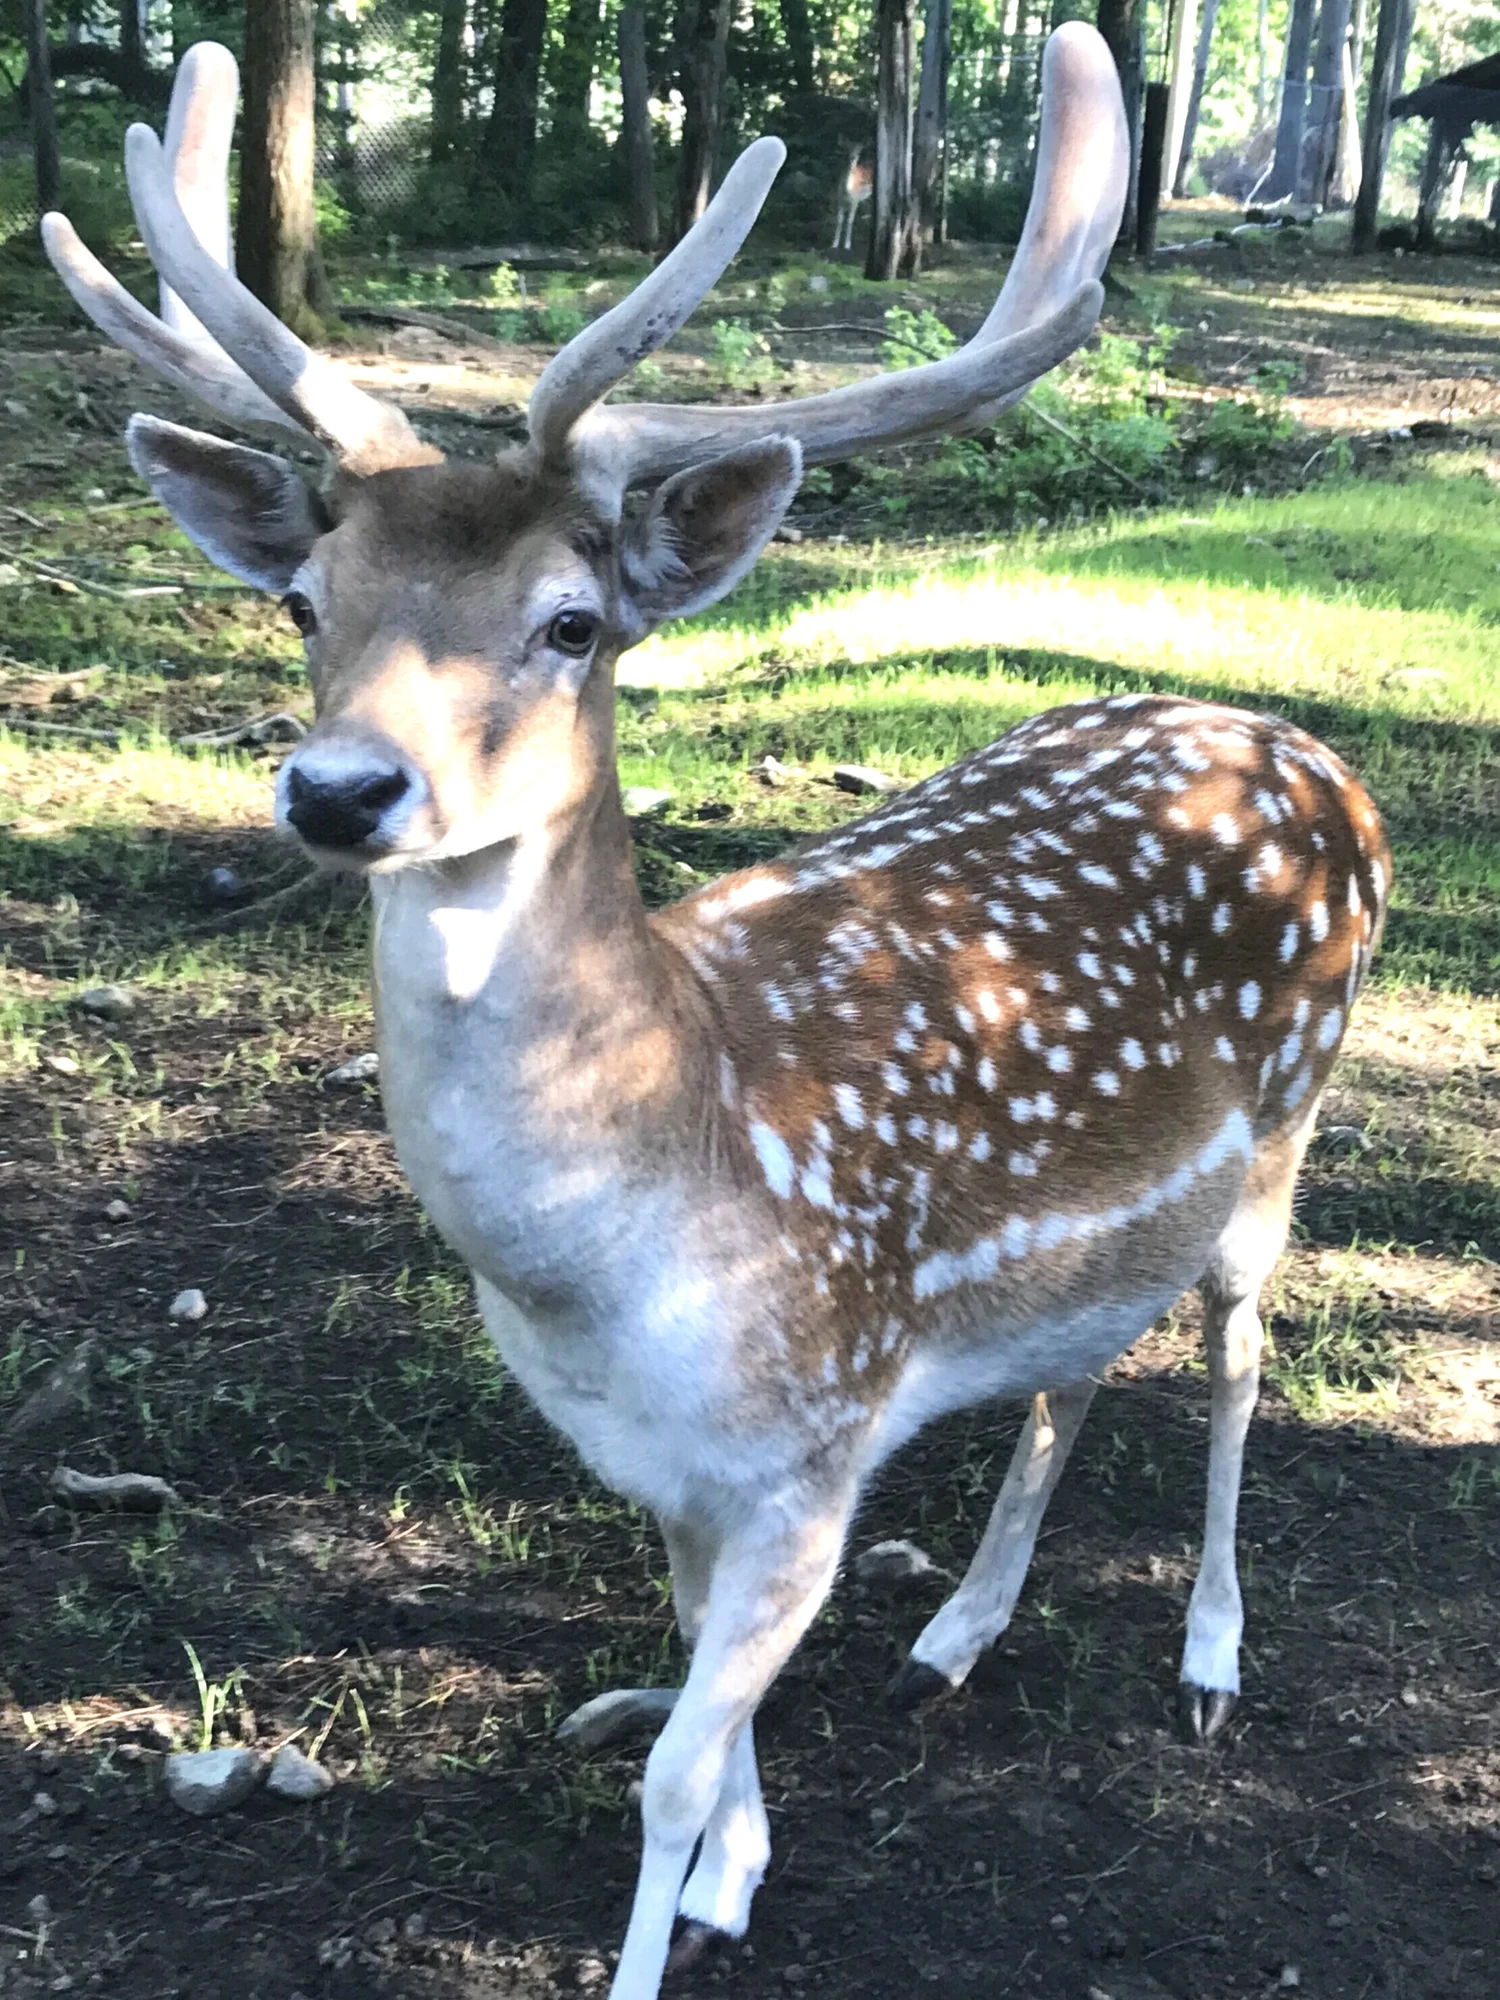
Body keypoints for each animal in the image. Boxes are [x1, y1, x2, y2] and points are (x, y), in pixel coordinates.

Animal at [42, 26, 1390, 2000]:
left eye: (573, 623)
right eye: (304, 602)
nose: (339, 792)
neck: (622, 1248)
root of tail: (1313, 752)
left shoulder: (815, 1438)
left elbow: (668, 1762)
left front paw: (679, 1902)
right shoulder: (670, 1470)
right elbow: (701, 1698)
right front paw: (738, 1873)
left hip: (1290, 1124)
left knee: (1233, 1359)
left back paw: (1211, 1661)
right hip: (1129, 1221)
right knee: (1079, 1360)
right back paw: (958, 1633)